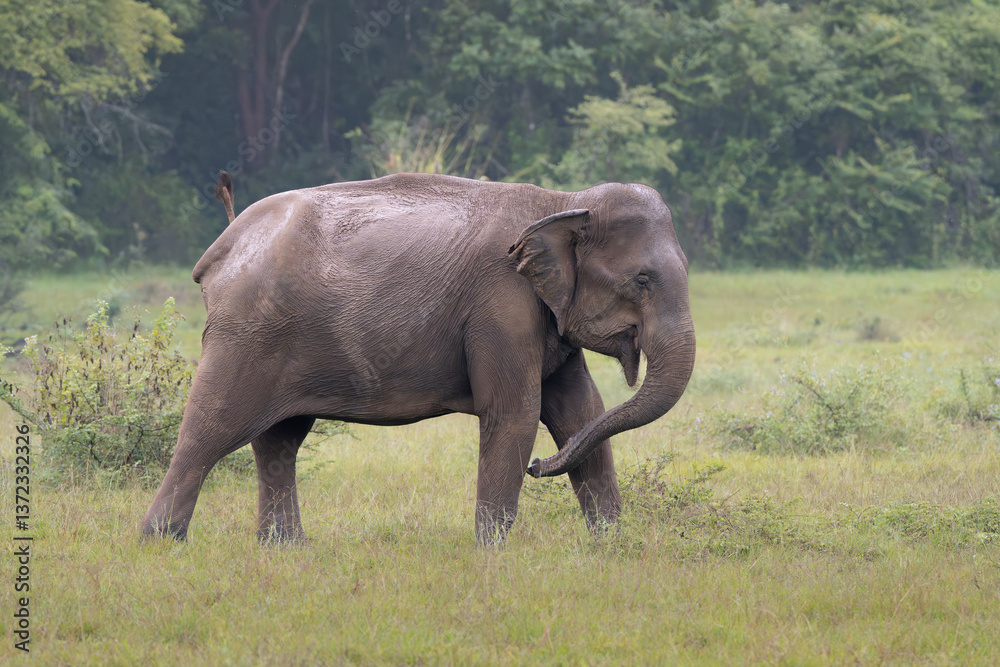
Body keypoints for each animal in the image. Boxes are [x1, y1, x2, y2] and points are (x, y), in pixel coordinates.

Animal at [142, 172, 696, 545]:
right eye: (642, 279)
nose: (541, 467)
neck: (563, 202)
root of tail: (224, 245)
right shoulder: (501, 304)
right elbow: (514, 413)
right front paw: (492, 553)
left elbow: (579, 411)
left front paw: (610, 546)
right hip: (245, 332)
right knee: (212, 428)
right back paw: (161, 541)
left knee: (280, 441)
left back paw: (285, 548)